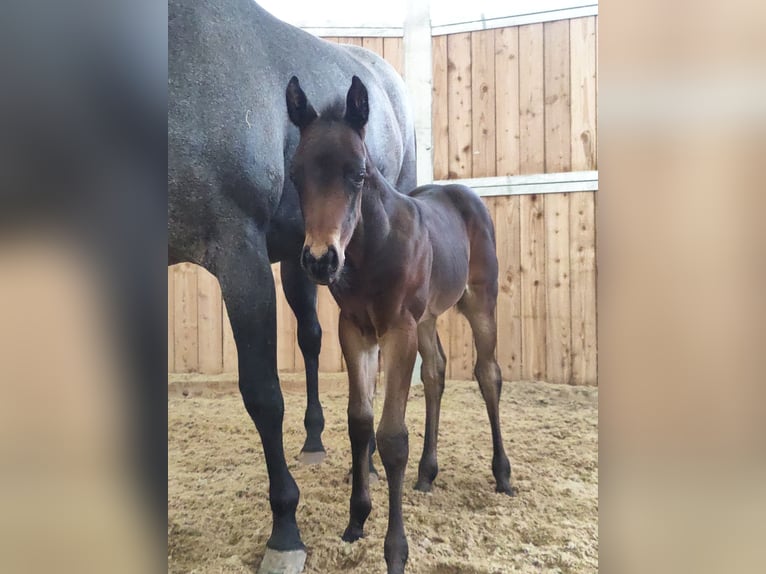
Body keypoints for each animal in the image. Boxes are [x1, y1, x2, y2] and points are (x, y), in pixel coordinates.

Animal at [284, 76, 512, 574]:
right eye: (295, 175)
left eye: (358, 174)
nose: (320, 260)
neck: (372, 249)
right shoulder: (356, 330)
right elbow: (360, 423)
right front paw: (356, 520)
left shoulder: (398, 331)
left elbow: (391, 437)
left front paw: (395, 550)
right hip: (426, 319)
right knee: (437, 371)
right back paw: (427, 473)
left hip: (479, 302)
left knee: (488, 374)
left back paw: (503, 474)